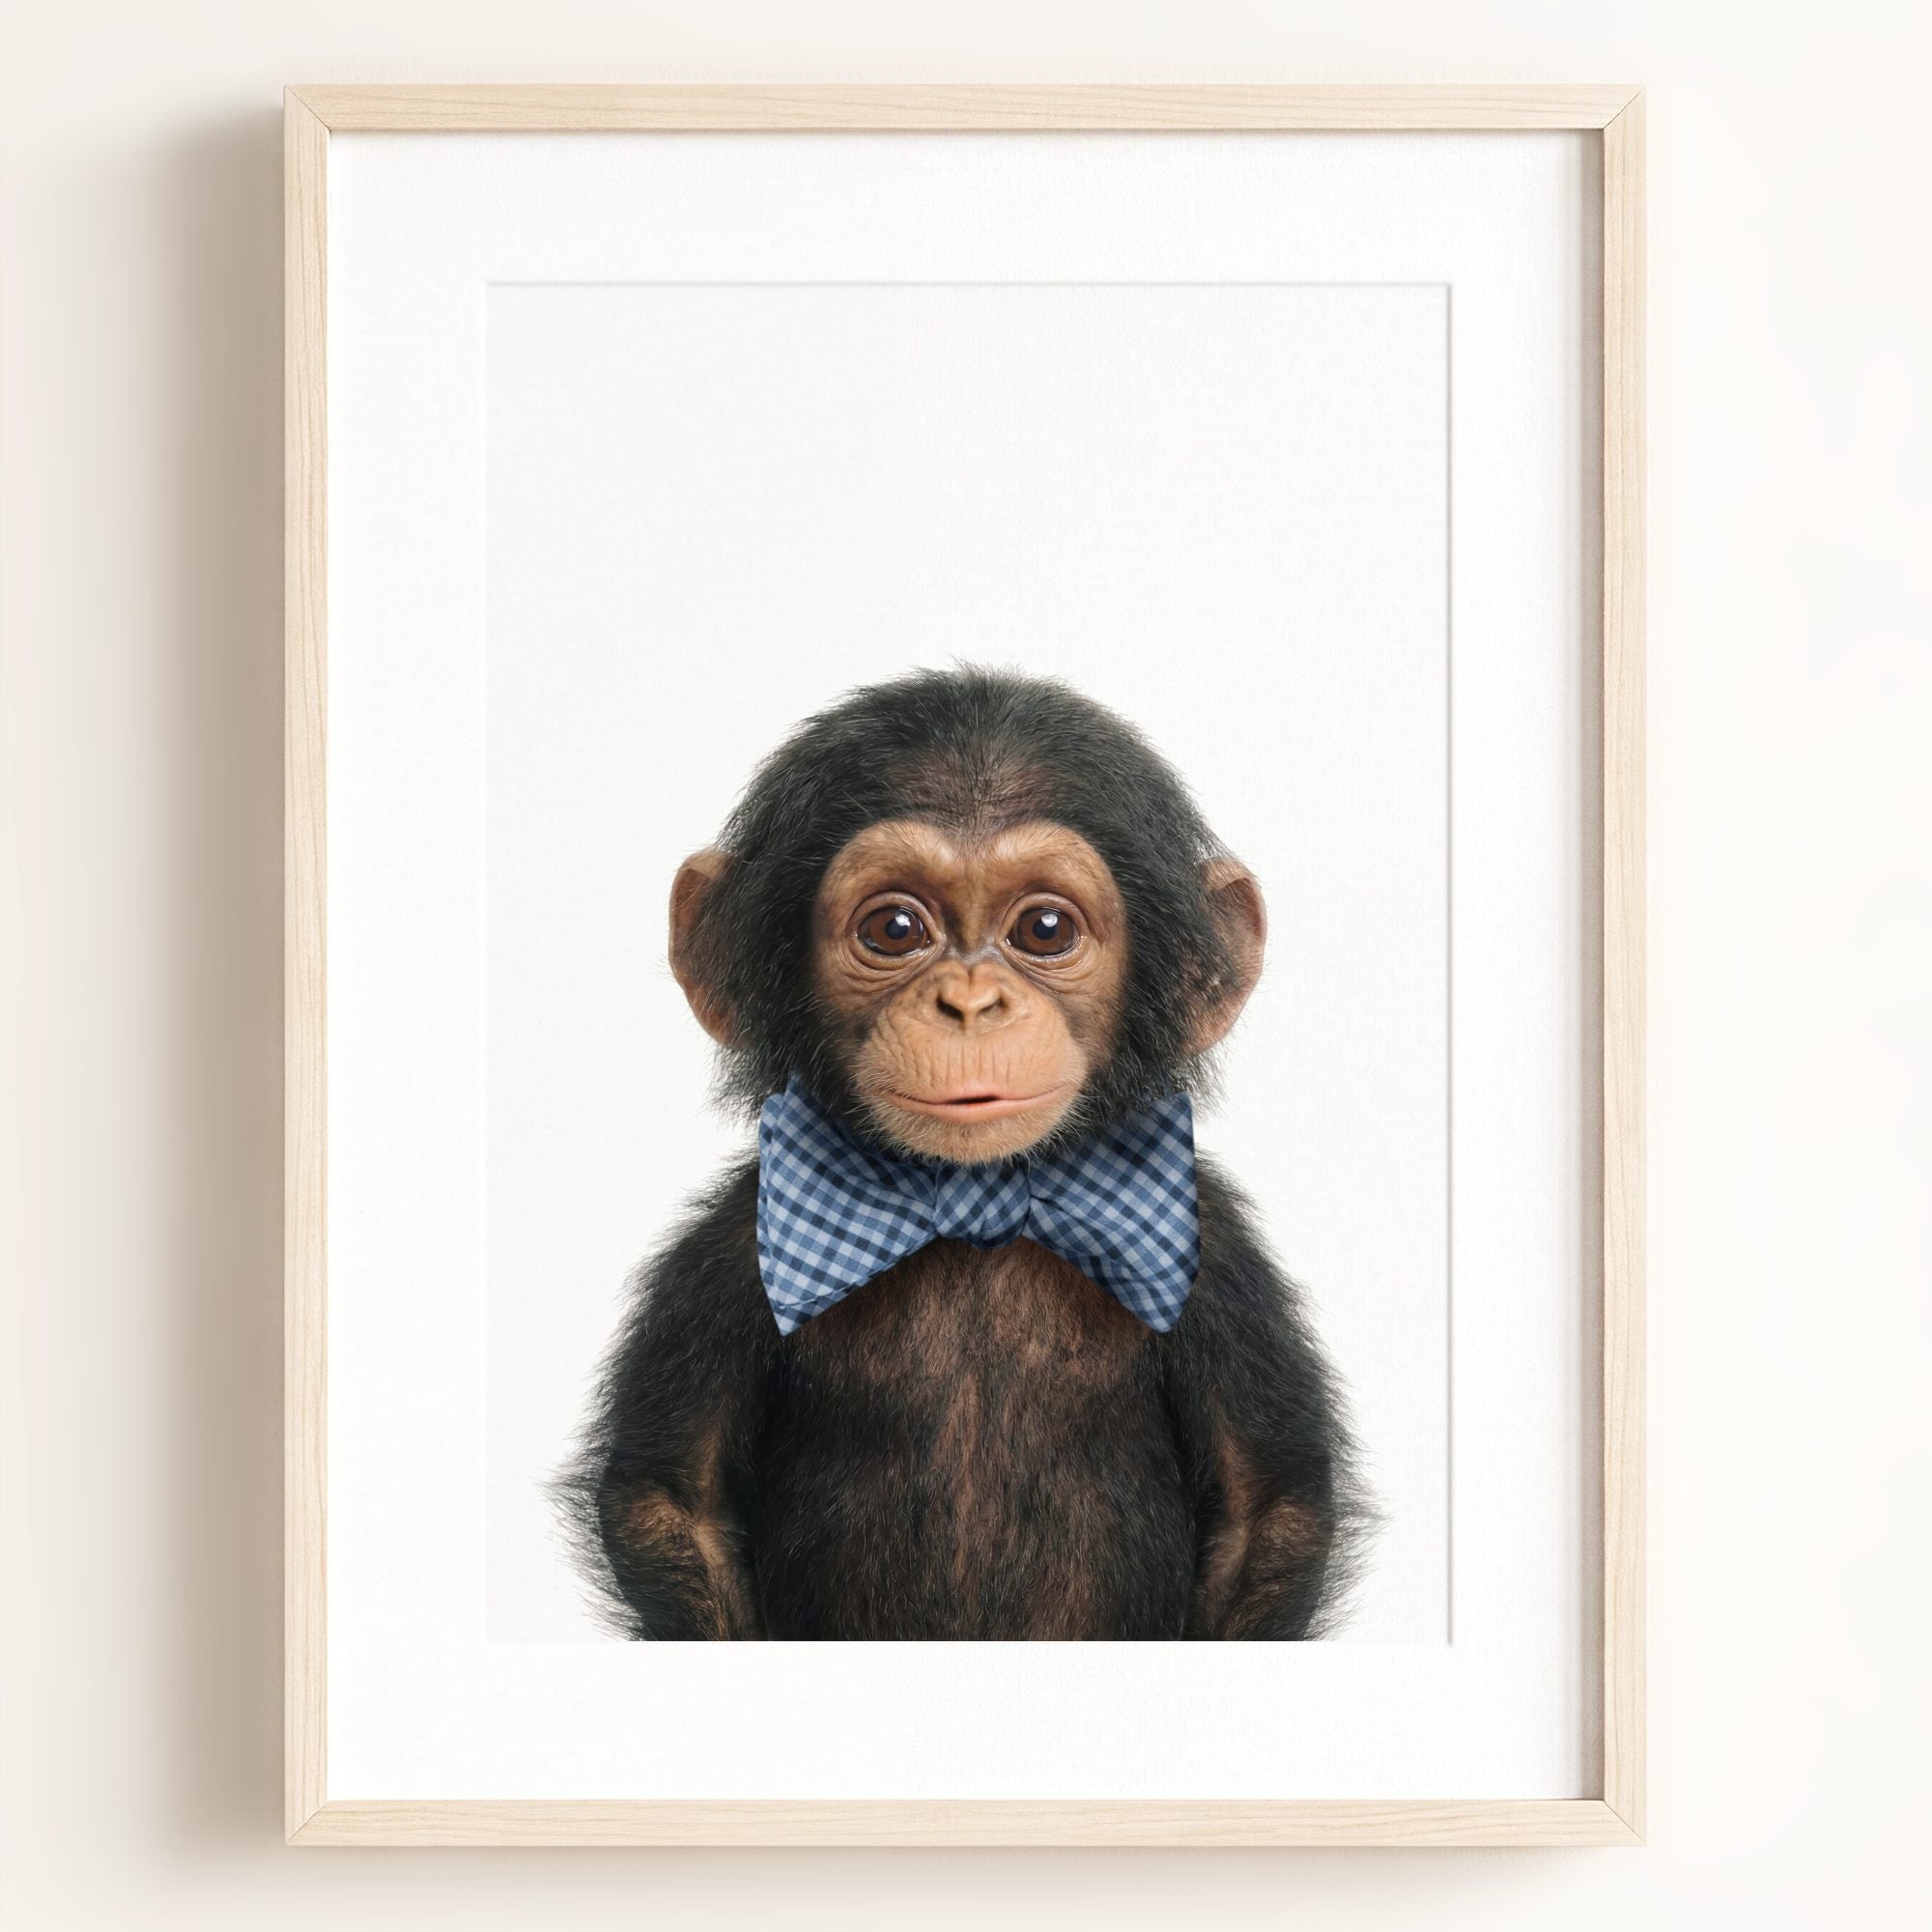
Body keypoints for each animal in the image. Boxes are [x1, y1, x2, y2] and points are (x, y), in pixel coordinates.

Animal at [563, 667, 1365, 1640]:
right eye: (896, 929)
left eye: (1046, 929)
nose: (972, 1003)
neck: (974, 1200)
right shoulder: (725, 1253)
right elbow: (673, 1501)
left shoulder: (1215, 1259)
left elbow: (1266, 1510)